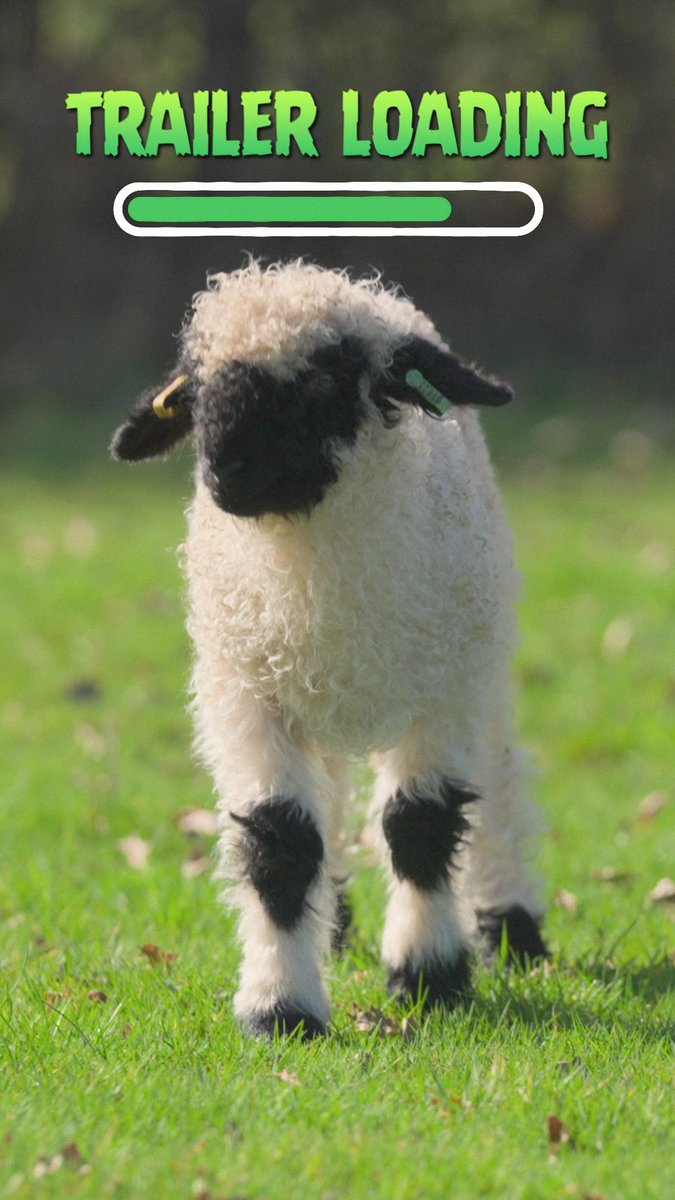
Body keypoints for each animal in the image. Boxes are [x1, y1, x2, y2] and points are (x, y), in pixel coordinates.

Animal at [111, 260, 547, 1040]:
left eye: (323, 381)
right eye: (195, 386)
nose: (225, 468)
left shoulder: (440, 687)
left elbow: (420, 825)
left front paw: (428, 974)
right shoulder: (246, 690)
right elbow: (280, 842)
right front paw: (281, 1005)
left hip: (480, 655)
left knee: (498, 781)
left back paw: (510, 924)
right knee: (334, 798)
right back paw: (335, 925)